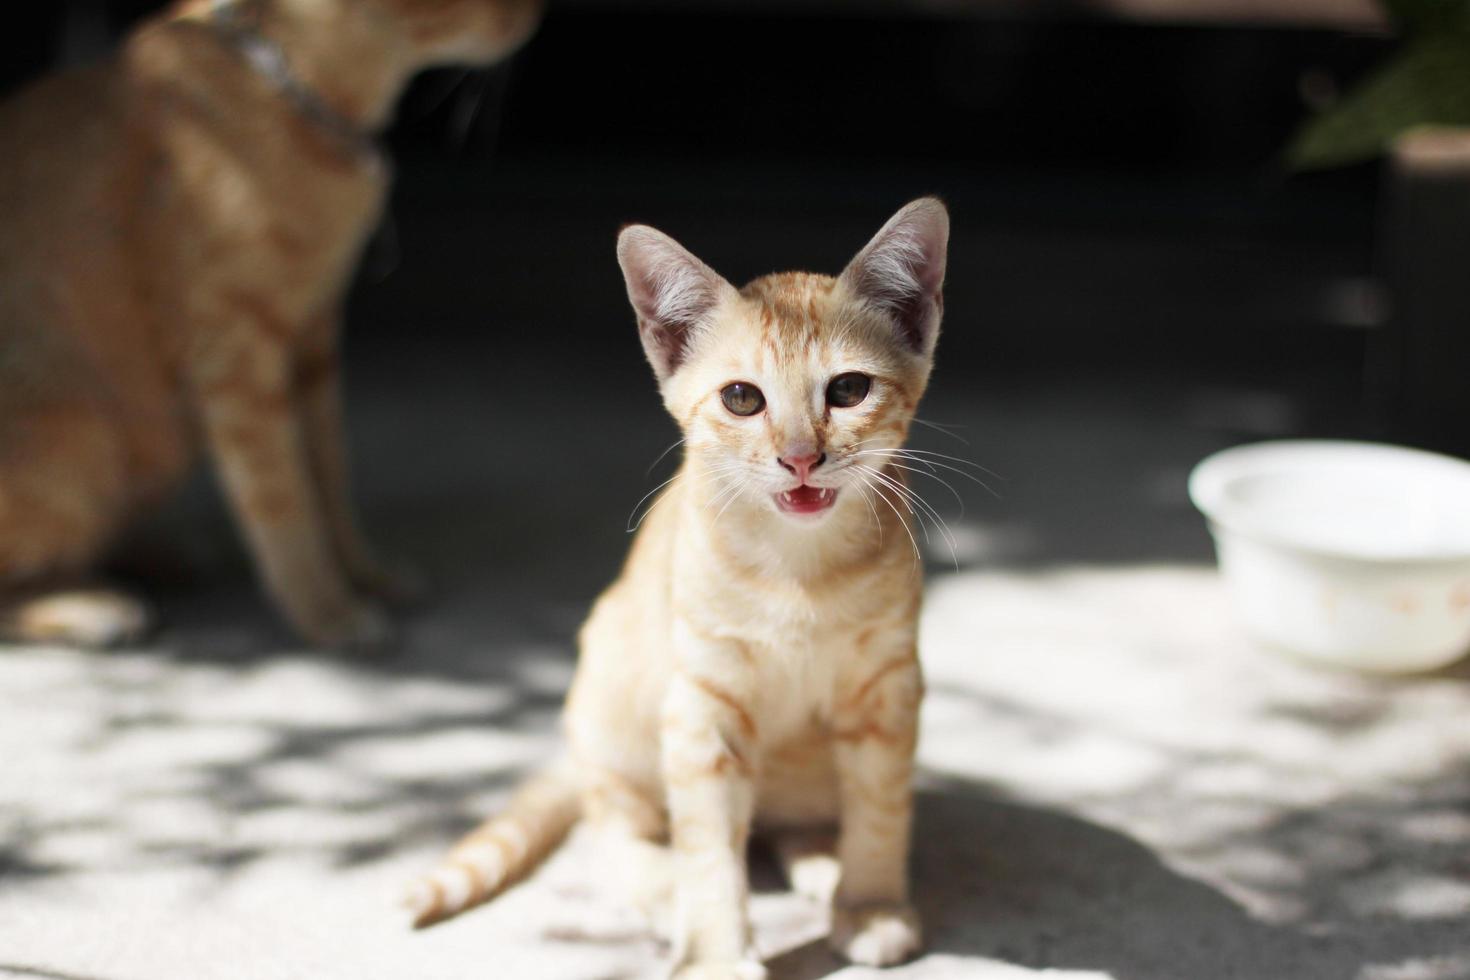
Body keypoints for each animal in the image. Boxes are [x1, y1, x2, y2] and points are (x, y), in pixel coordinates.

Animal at [0, 0, 543, 652]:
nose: (536, 10)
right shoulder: (238, 354)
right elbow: (283, 499)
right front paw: (326, 612)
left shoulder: (313, 342)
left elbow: (329, 481)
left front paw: (366, 575)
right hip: (84, 443)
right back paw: (88, 605)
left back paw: (162, 556)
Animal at [408, 196, 952, 975]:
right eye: (742, 398)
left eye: (848, 390)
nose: (800, 458)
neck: (801, 571)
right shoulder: (701, 707)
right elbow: (710, 851)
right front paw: (716, 949)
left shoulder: (888, 687)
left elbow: (881, 806)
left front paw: (872, 900)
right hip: (612, 703)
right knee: (611, 829)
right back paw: (665, 888)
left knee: (789, 820)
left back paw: (824, 861)